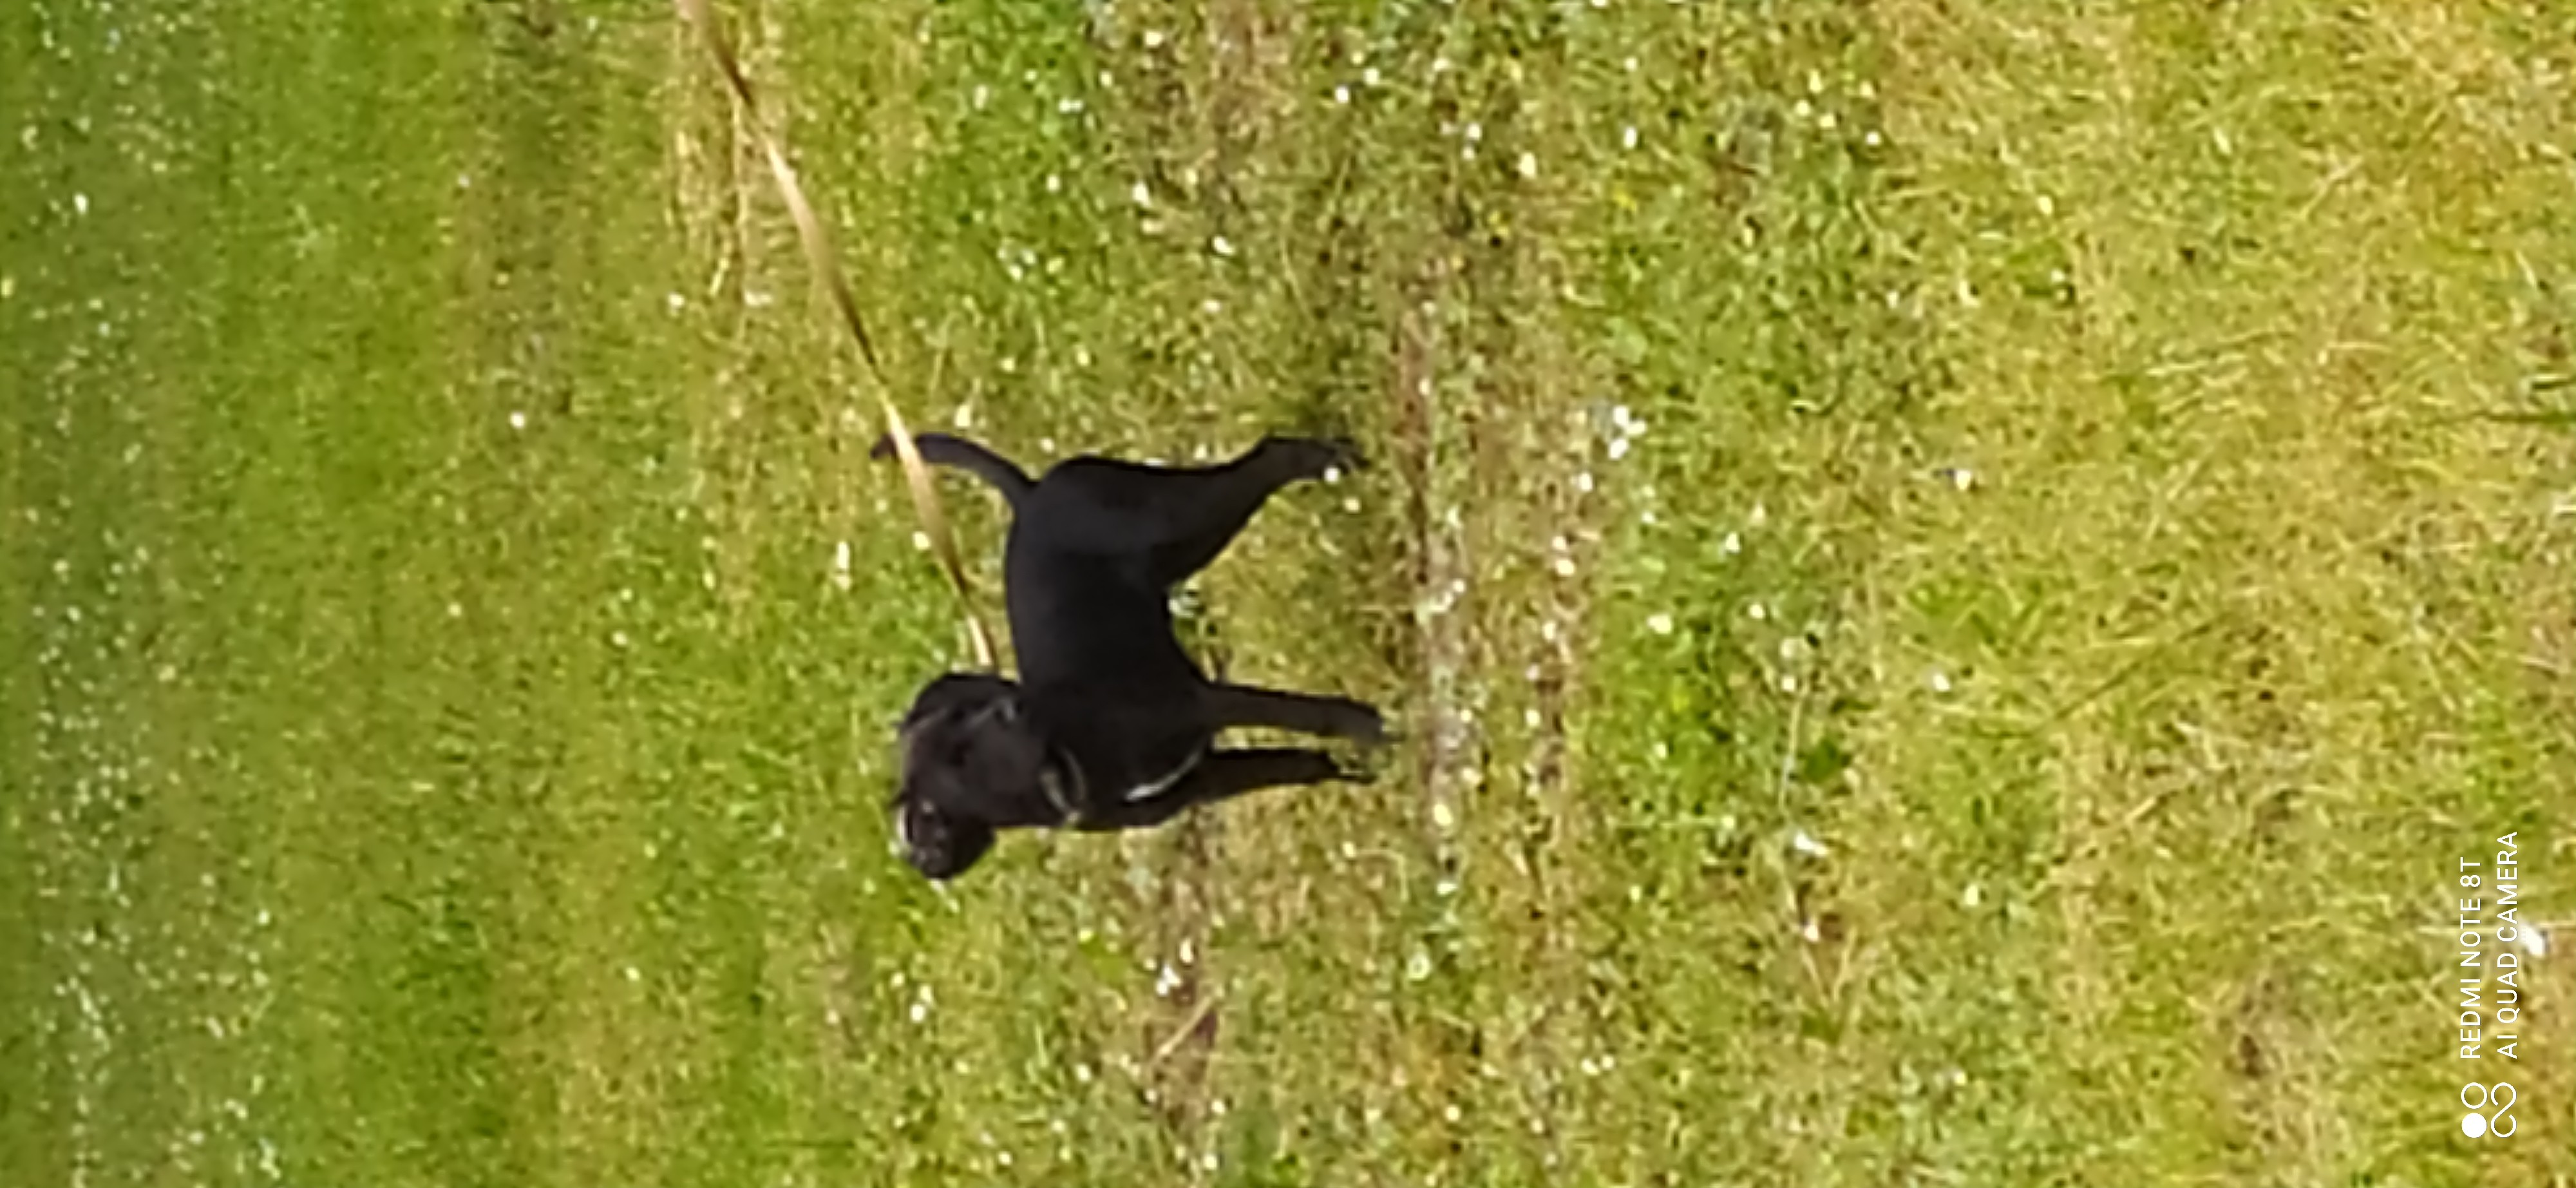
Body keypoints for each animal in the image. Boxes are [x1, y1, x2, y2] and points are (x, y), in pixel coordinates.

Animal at [871, 430, 1391, 876]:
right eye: (960, 755)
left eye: (967, 717)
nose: (1010, 708)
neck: (1063, 758)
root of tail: (1029, 495)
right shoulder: (1208, 779)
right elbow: (1298, 763)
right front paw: (1354, 771)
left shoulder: (1201, 702)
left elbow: (1303, 713)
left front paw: (1368, 728)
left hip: (1181, 518)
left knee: (1266, 456)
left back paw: (1326, 462)